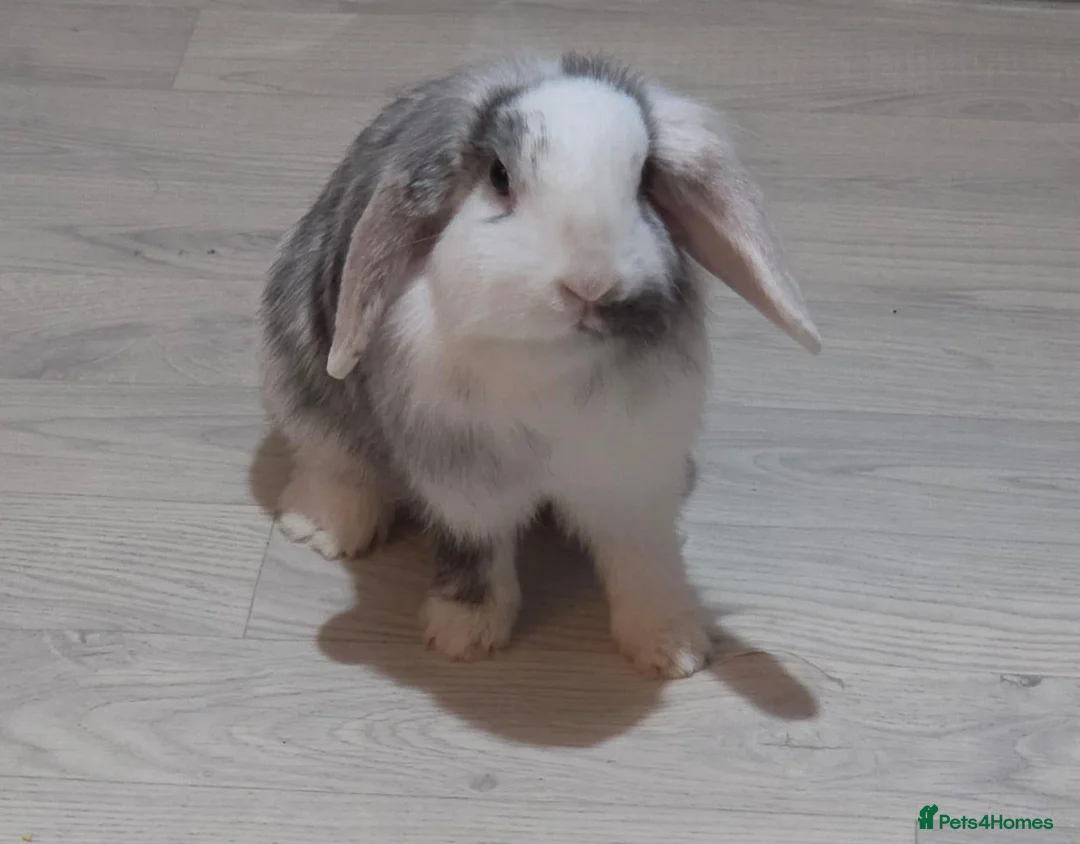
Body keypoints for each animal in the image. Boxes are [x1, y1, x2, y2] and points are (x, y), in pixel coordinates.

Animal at [258, 52, 821, 679]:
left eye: (644, 181)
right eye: (499, 176)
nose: (591, 285)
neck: (550, 362)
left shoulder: (631, 475)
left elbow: (644, 557)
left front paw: (673, 647)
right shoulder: (465, 481)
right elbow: (475, 549)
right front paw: (467, 636)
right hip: (297, 385)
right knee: (336, 463)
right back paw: (322, 528)